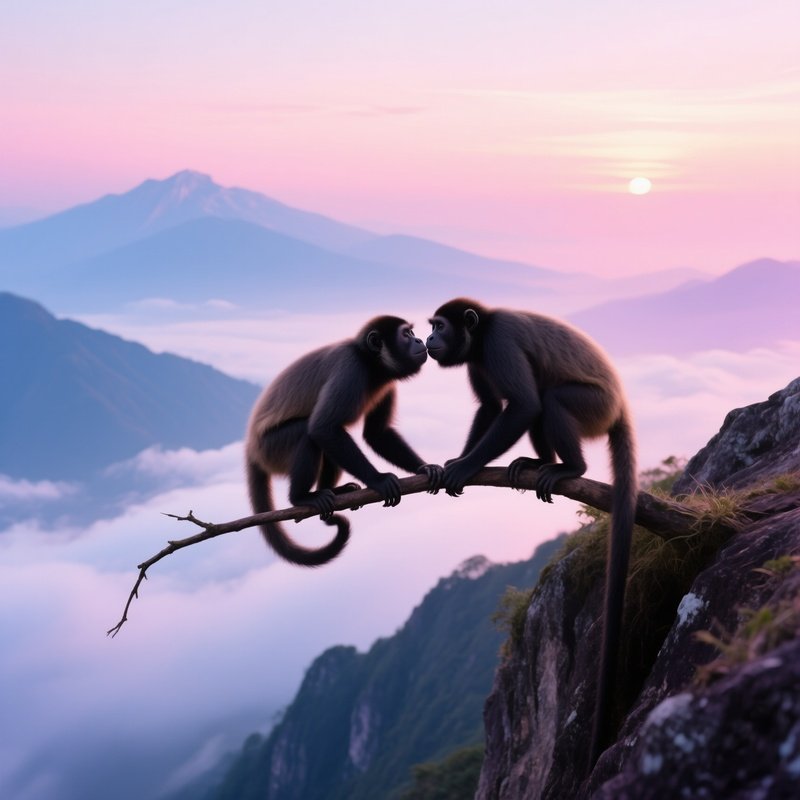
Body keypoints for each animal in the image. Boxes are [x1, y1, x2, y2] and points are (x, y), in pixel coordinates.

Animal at [245, 315, 443, 568]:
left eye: (413, 333)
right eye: (406, 334)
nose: (419, 340)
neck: (370, 364)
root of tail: (251, 448)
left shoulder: (385, 382)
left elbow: (377, 434)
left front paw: (423, 468)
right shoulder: (351, 368)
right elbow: (322, 428)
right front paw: (378, 480)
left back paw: (334, 491)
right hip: (271, 449)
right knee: (307, 433)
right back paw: (301, 498)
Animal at [426, 297, 637, 767]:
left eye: (440, 326)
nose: (428, 338)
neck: (481, 333)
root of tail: (620, 405)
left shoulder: (498, 343)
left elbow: (520, 406)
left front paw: (467, 465)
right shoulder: (477, 357)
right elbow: (490, 408)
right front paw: (461, 461)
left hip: (595, 408)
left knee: (548, 400)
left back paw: (571, 468)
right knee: (541, 405)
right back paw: (540, 463)